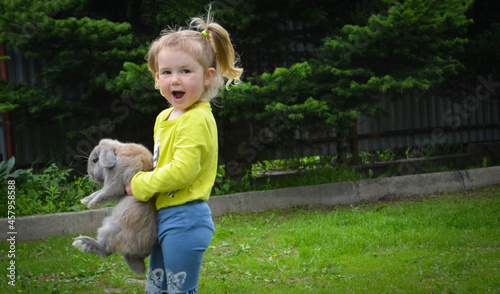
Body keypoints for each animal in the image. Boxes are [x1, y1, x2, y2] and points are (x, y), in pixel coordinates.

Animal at [72, 139, 157, 274]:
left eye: (96, 160)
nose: (90, 175)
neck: (118, 154)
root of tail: (138, 257)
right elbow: (98, 192)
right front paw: (85, 200)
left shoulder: (115, 183)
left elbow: (105, 193)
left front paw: (92, 204)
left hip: (109, 230)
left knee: (105, 251)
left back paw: (83, 242)